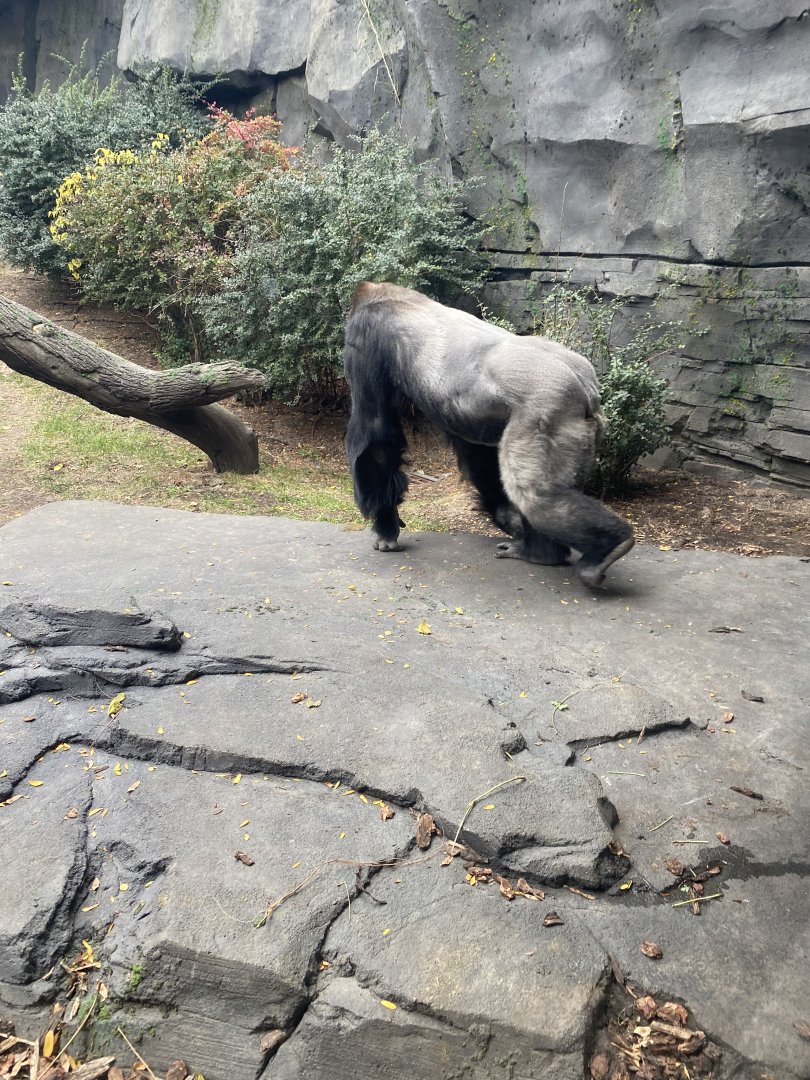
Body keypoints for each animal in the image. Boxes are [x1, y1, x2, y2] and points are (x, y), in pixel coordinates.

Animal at [344, 282, 634, 588]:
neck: (391, 295)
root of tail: (587, 387)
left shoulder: (366, 334)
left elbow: (375, 432)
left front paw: (385, 524)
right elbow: (475, 452)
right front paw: (506, 516)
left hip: (549, 407)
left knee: (534, 493)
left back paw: (604, 547)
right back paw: (542, 552)